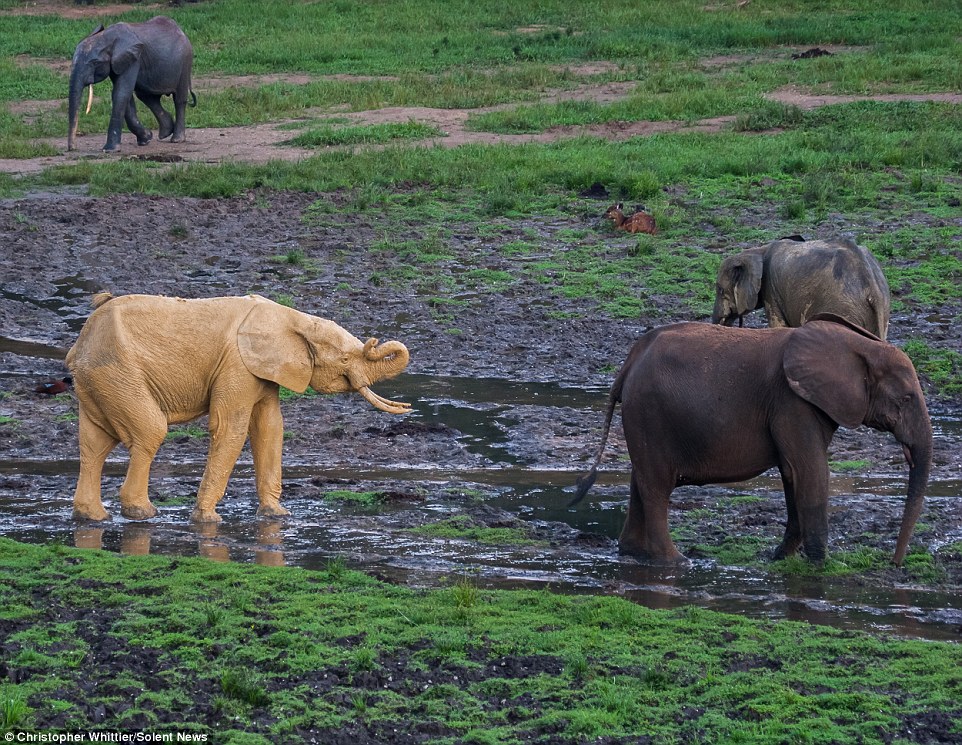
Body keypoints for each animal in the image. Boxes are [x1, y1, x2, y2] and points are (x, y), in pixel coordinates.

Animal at [65, 292, 410, 524]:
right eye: (345, 359)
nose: (407, 406)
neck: (292, 318)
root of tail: (79, 344)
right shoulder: (237, 366)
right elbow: (231, 427)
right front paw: (207, 520)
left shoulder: (262, 369)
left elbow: (269, 428)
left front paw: (277, 516)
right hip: (117, 373)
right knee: (150, 431)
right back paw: (142, 513)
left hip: (99, 381)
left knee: (94, 444)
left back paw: (93, 517)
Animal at [68, 17, 195, 153]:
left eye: (95, 63)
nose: (73, 148)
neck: (108, 37)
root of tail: (180, 30)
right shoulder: (118, 63)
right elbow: (124, 95)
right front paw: (146, 139)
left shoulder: (134, 58)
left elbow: (121, 93)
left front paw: (110, 150)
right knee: (147, 97)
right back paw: (165, 132)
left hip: (185, 62)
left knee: (179, 99)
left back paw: (177, 139)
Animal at [568, 316, 928, 568]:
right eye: (907, 398)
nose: (894, 564)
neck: (859, 345)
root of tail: (627, 363)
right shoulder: (792, 402)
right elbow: (809, 472)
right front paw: (823, 565)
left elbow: (792, 474)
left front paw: (781, 558)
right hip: (650, 411)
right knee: (656, 486)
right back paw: (675, 562)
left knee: (640, 480)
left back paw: (633, 553)